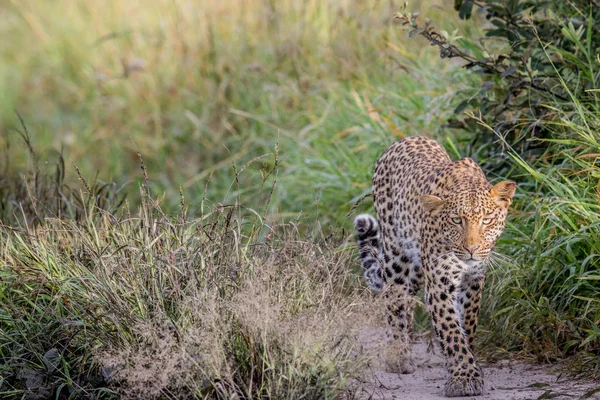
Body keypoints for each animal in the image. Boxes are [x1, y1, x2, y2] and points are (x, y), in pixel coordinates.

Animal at [352, 137, 516, 396]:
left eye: (487, 220)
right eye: (456, 220)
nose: (472, 248)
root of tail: (405, 139)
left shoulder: (473, 281)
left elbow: (467, 325)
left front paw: (466, 366)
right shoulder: (440, 284)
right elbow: (450, 329)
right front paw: (464, 377)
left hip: (418, 270)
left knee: (407, 301)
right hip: (396, 255)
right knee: (394, 299)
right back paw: (398, 356)